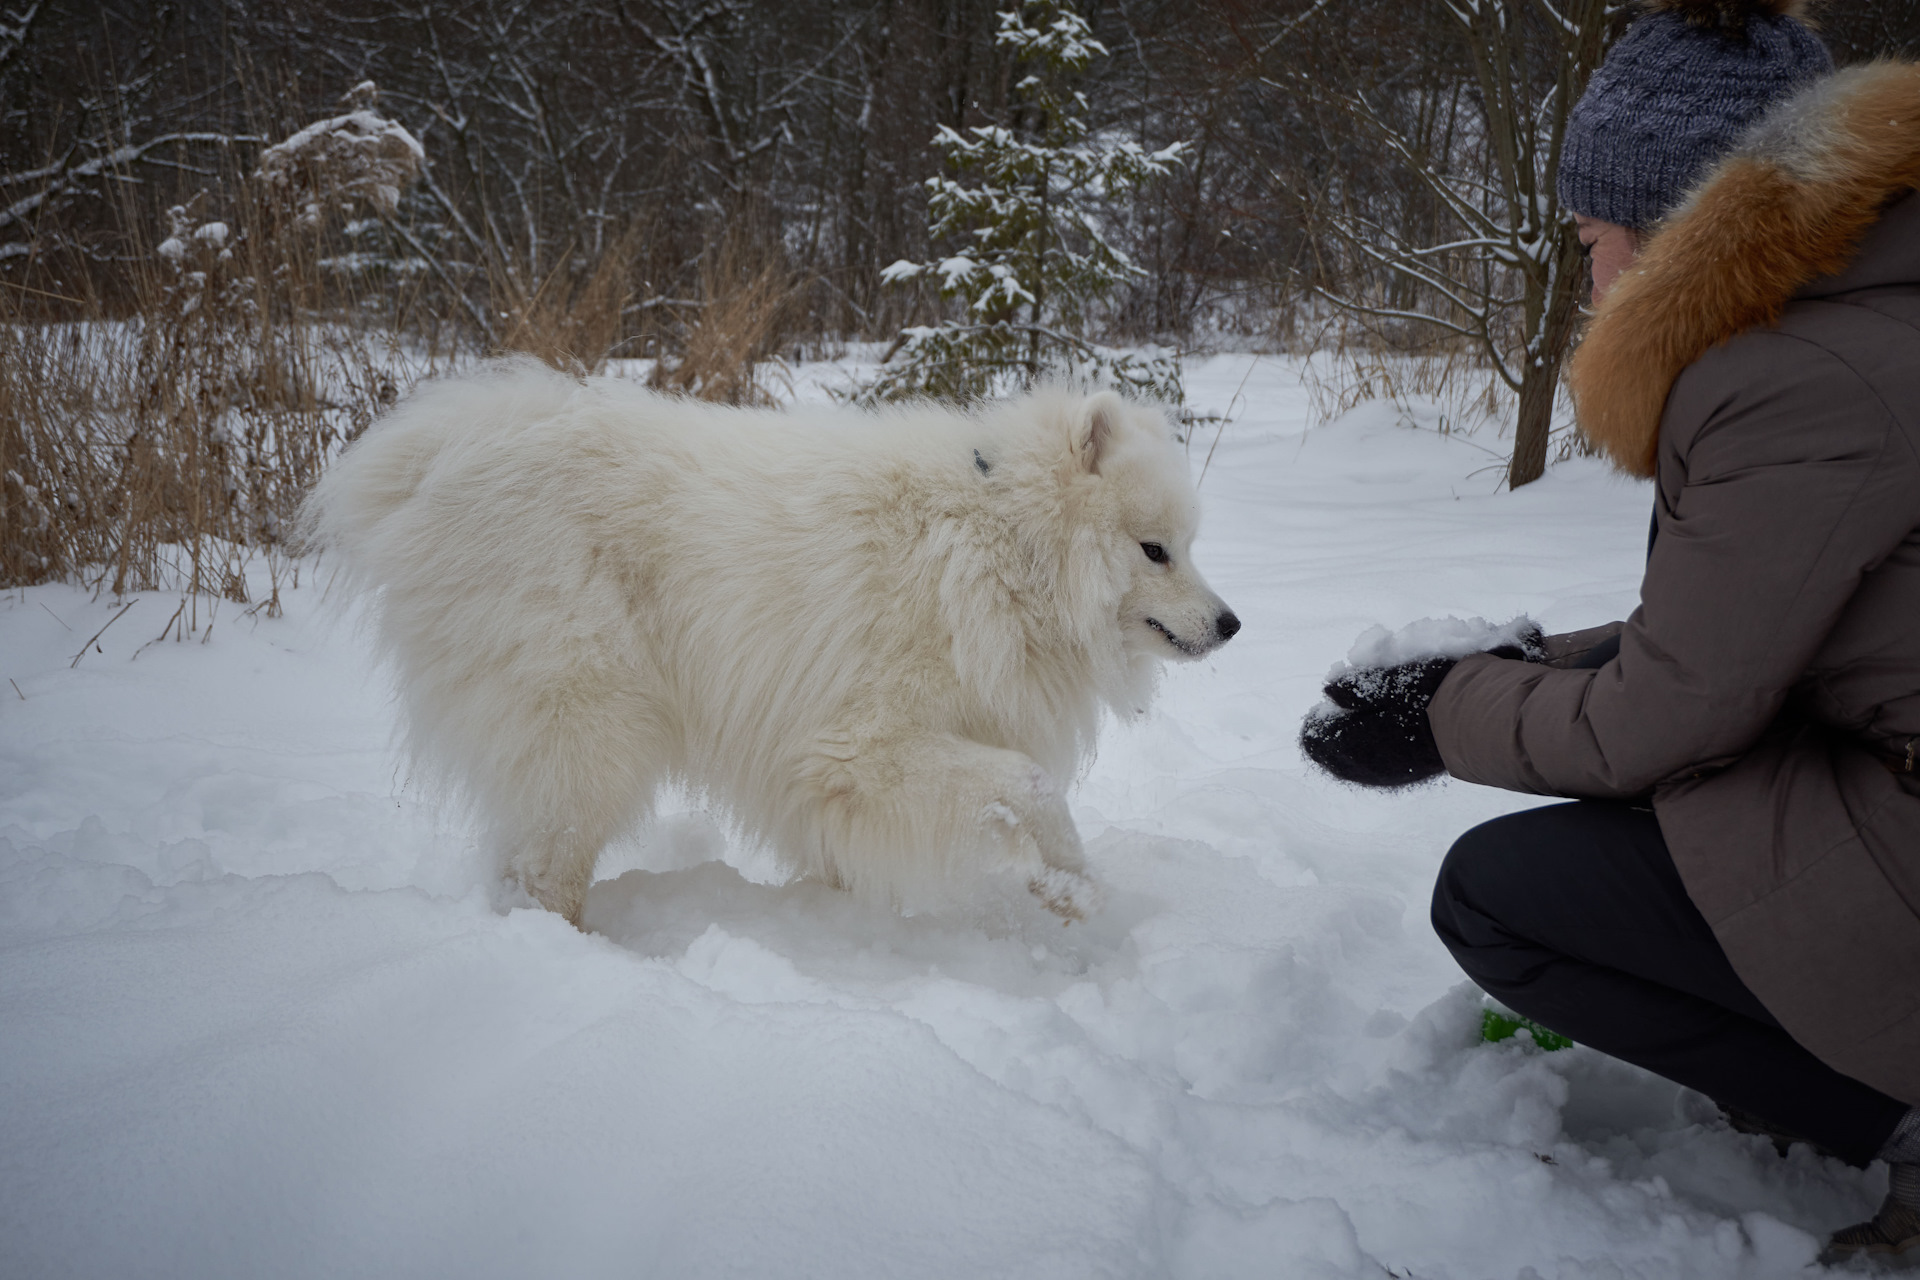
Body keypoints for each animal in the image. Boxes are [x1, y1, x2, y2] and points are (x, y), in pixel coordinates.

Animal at [299, 358, 1228, 921]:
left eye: (1190, 545)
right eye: (1155, 550)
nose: (1231, 622)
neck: (998, 542)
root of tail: (436, 458)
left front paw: (1063, 887)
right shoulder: (859, 746)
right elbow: (1031, 784)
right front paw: (1069, 886)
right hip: (589, 730)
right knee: (543, 868)